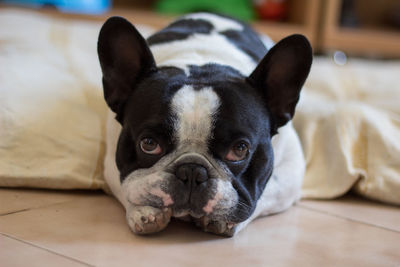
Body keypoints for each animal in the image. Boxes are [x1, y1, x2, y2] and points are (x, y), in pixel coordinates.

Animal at [97, 13, 312, 239]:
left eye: (240, 149)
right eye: (148, 144)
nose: (192, 171)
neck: (201, 65)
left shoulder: (291, 172)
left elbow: (266, 193)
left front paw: (222, 220)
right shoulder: (111, 161)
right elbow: (125, 185)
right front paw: (143, 211)